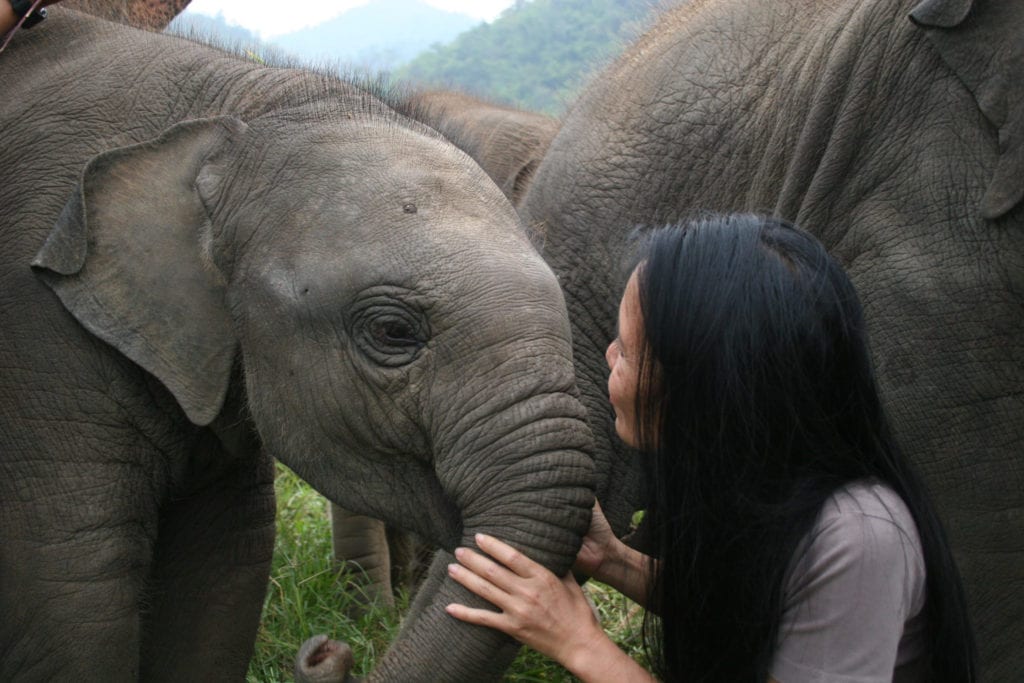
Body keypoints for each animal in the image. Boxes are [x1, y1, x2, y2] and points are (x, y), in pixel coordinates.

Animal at [2, 10, 593, 683]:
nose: (326, 648)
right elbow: (71, 584)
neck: (242, 107)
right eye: (393, 332)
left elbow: (225, 564)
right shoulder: (38, 334)